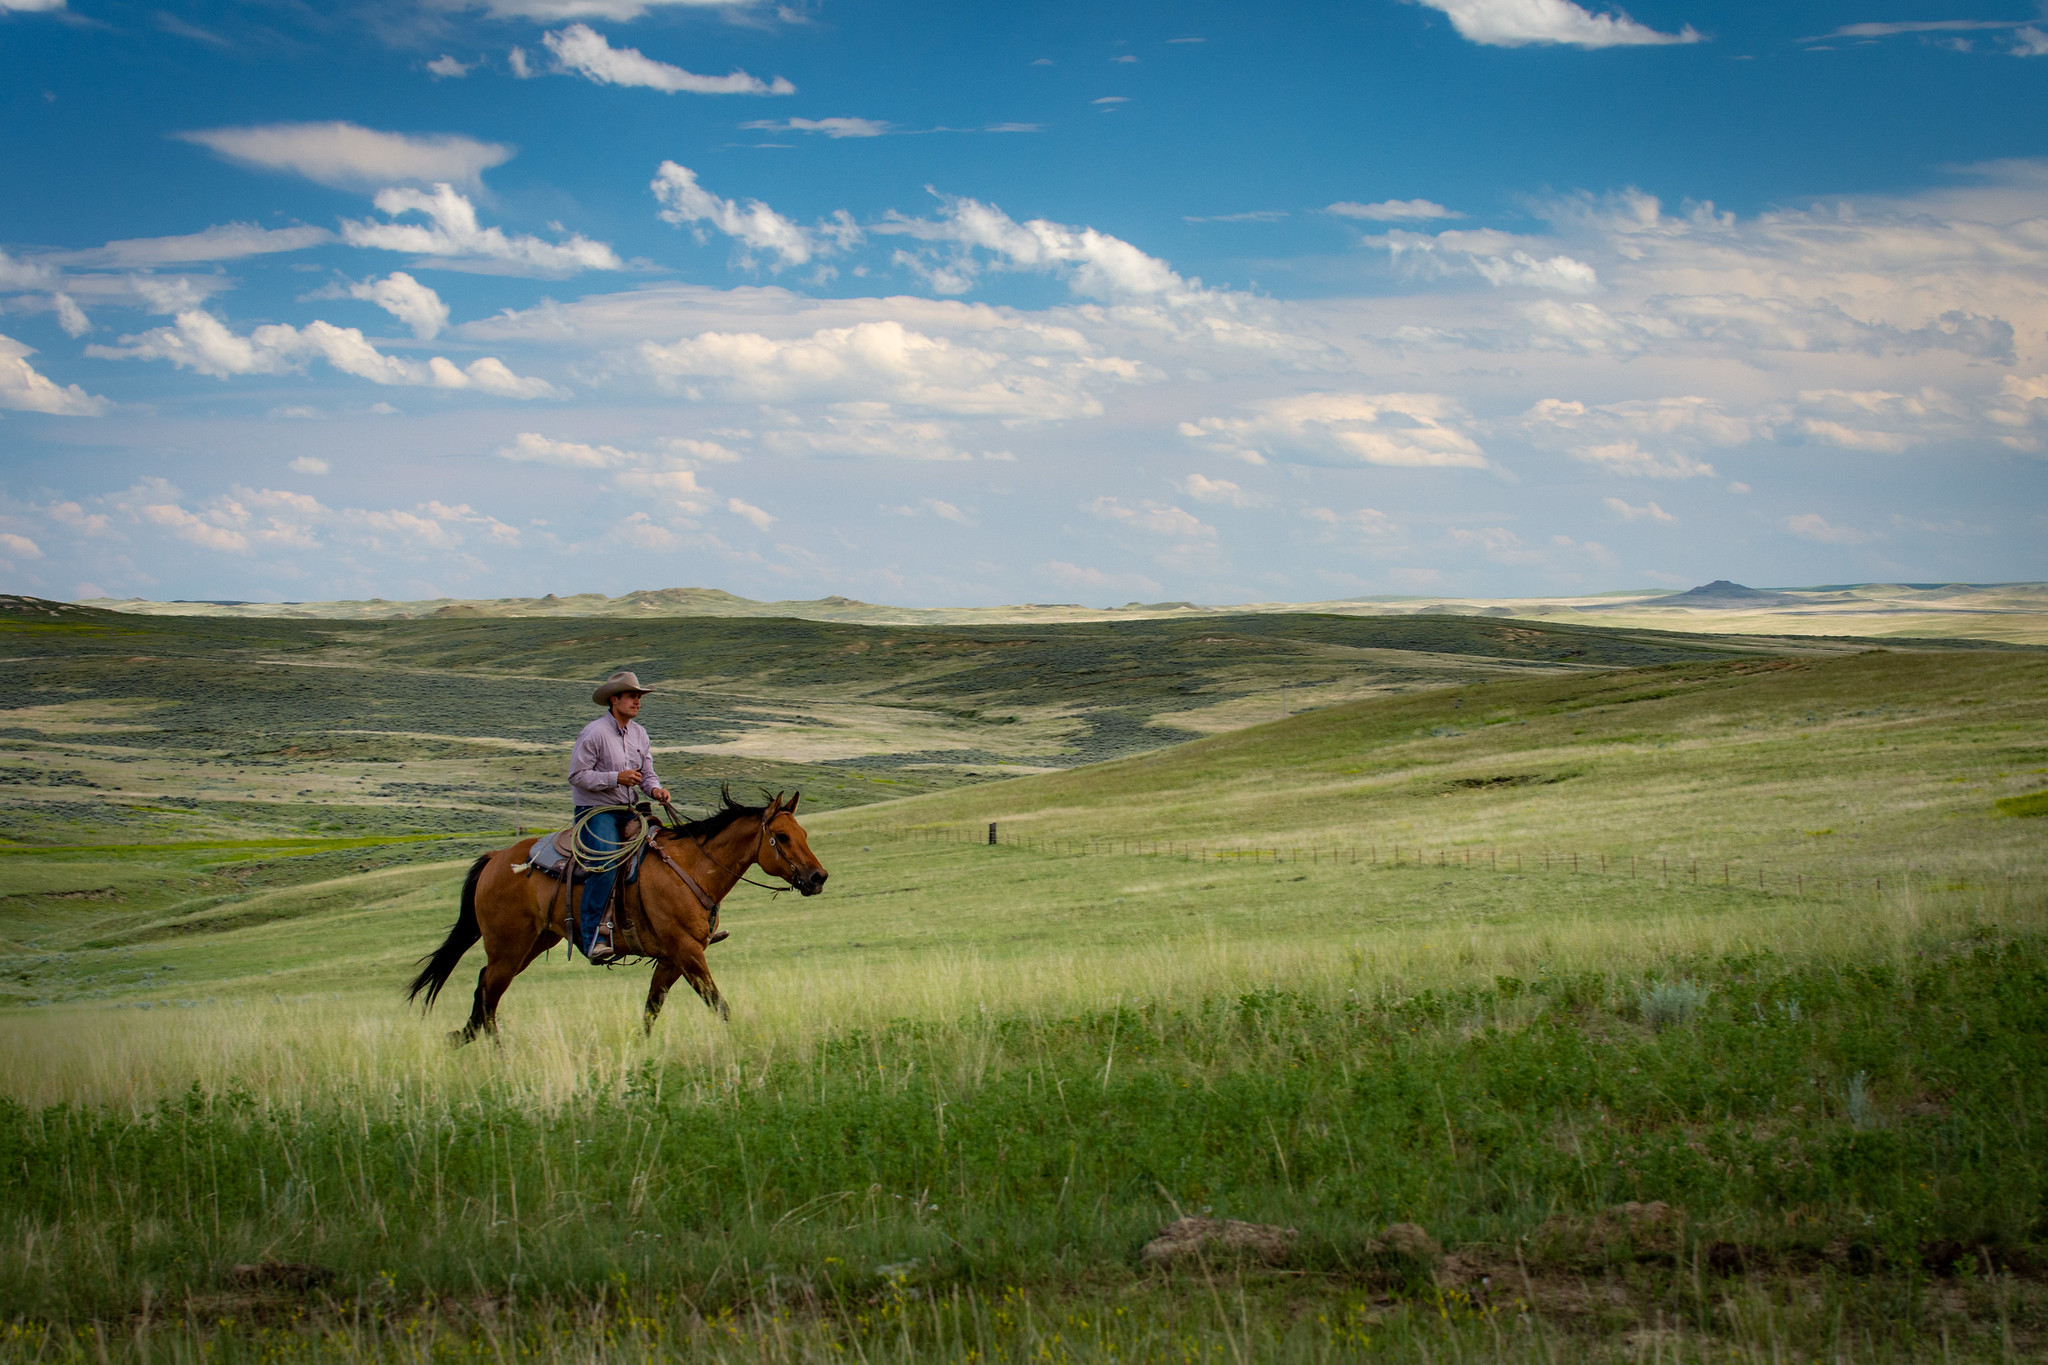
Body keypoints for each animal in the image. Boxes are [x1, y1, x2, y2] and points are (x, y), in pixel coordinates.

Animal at [407, 789, 823, 1047]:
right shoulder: (687, 952)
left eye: (803, 832)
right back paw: (496, 1053)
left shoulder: (673, 958)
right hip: (508, 949)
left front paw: (640, 1048)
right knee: (489, 993)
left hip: (532, 944)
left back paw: (464, 1038)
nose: (818, 877)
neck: (692, 867)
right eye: (782, 836)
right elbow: (718, 1004)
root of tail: (496, 858)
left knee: (483, 986)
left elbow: (652, 1009)